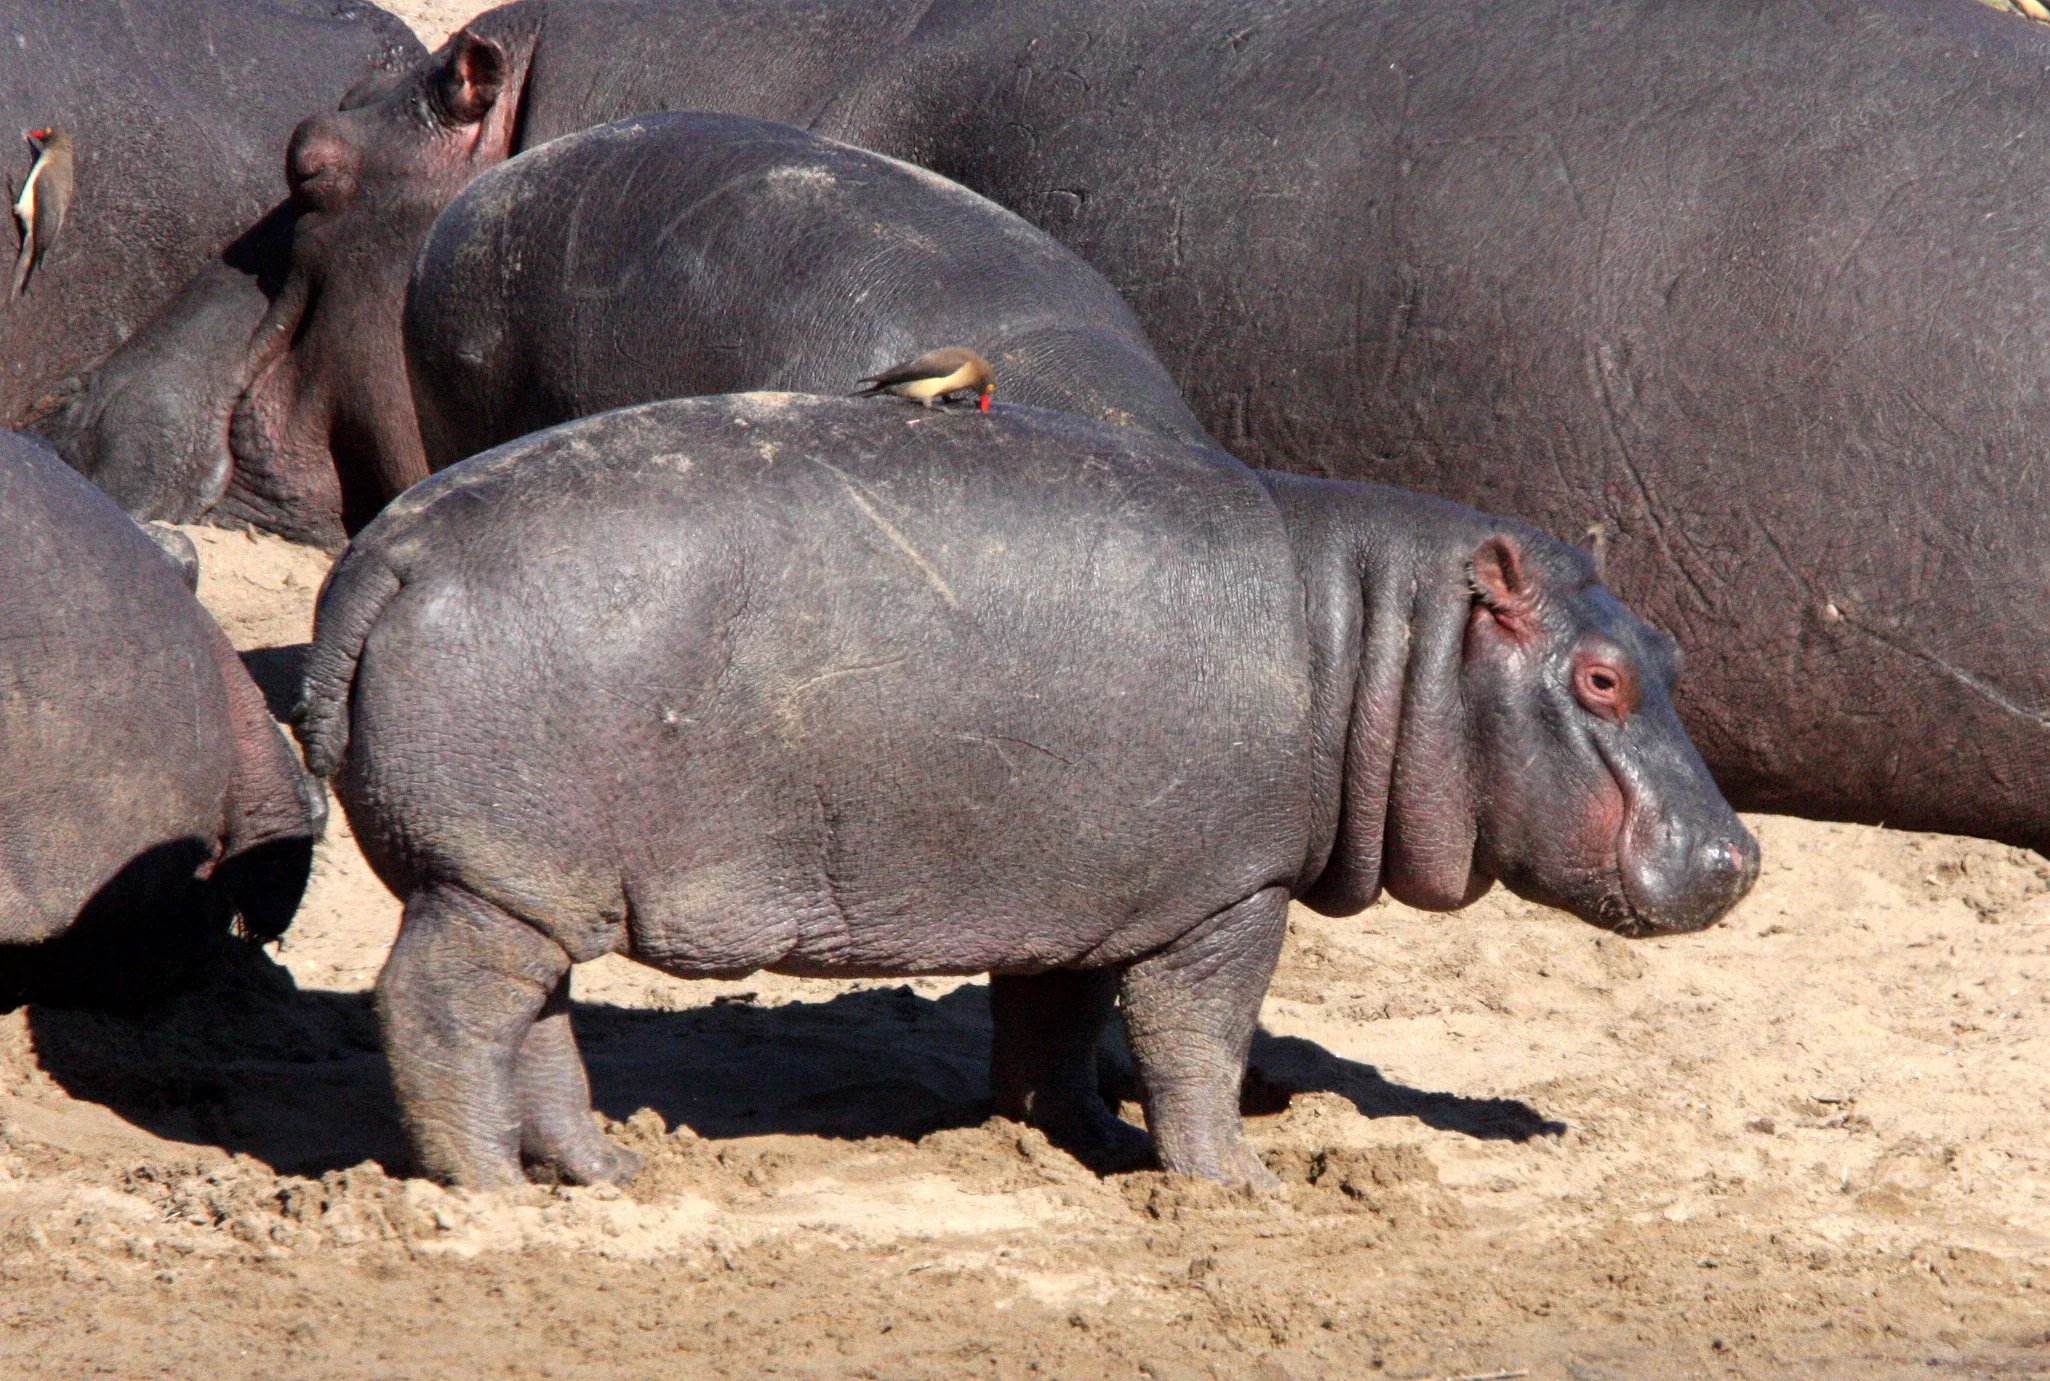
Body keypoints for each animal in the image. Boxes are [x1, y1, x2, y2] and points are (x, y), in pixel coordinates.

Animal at [296, 394, 1756, 1188]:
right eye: (1602, 680)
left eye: (1670, 651)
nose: (1738, 856)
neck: (1383, 635)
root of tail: (386, 554)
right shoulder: (1226, 894)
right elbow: (1194, 1038)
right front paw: (1234, 1181)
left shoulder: (1086, 883)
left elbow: (1054, 1025)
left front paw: (1080, 1140)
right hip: (493, 878)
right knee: (437, 1009)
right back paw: (485, 1187)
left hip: (536, 882)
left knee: (530, 1021)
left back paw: (605, 1169)